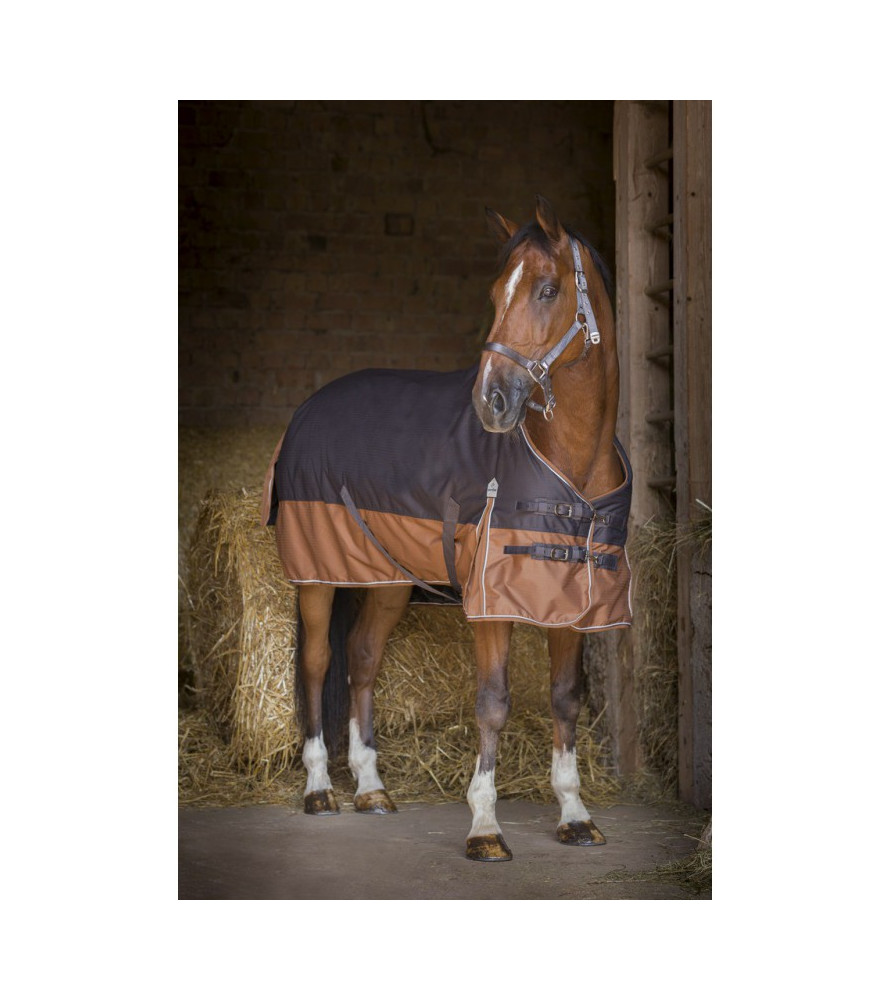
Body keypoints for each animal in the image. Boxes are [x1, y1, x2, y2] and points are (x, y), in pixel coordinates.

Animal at [262, 196, 631, 861]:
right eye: (494, 292)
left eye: (547, 290)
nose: (491, 401)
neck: (572, 462)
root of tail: (309, 408)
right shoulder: (492, 601)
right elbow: (493, 703)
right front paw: (484, 827)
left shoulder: (572, 601)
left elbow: (565, 698)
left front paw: (575, 815)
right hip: (318, 579)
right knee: (317, 663)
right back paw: (320, 789)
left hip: (386, 580)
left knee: (363, 659)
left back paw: (372, 789)